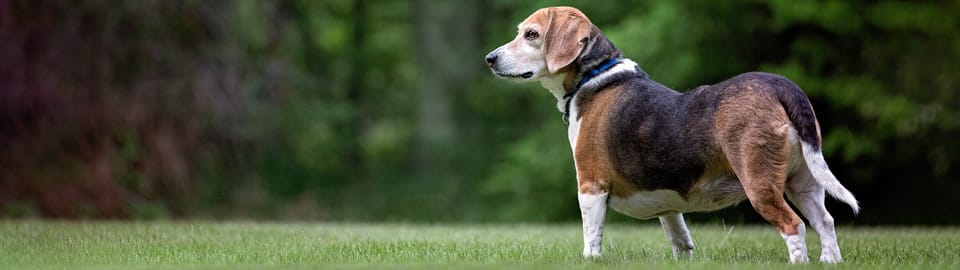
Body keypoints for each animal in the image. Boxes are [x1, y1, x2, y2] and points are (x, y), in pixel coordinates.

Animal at [484, 6, 860, 264]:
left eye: (531, 35)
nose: (490, 58)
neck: (595, 76)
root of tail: (780, 85)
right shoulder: (666, 201)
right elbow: (679, 235)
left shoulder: (590, 186)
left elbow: (592, 236)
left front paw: (590, 260)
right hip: (805, 181)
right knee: (825, 221)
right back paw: (829, 261)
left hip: (760, 184)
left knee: (794, 226)